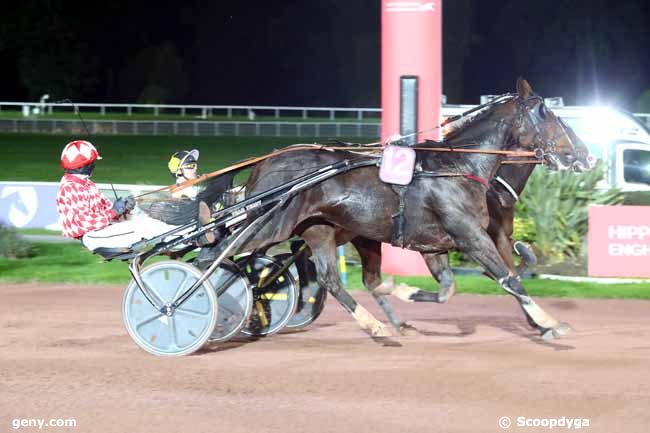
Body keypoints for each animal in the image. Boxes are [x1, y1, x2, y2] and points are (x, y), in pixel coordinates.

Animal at [237, 79, 576, 340]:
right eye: (545, 114)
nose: (574, 153)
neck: (459, 167)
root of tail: (264, 164)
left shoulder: (435, 246)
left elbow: (448, 290)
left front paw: (400, 291)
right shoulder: (471, 236)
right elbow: (509, 278)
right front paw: (549, 323)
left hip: (323, 231)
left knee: (329, 278)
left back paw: (377, 325)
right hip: (269, 227)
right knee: (230, 255)